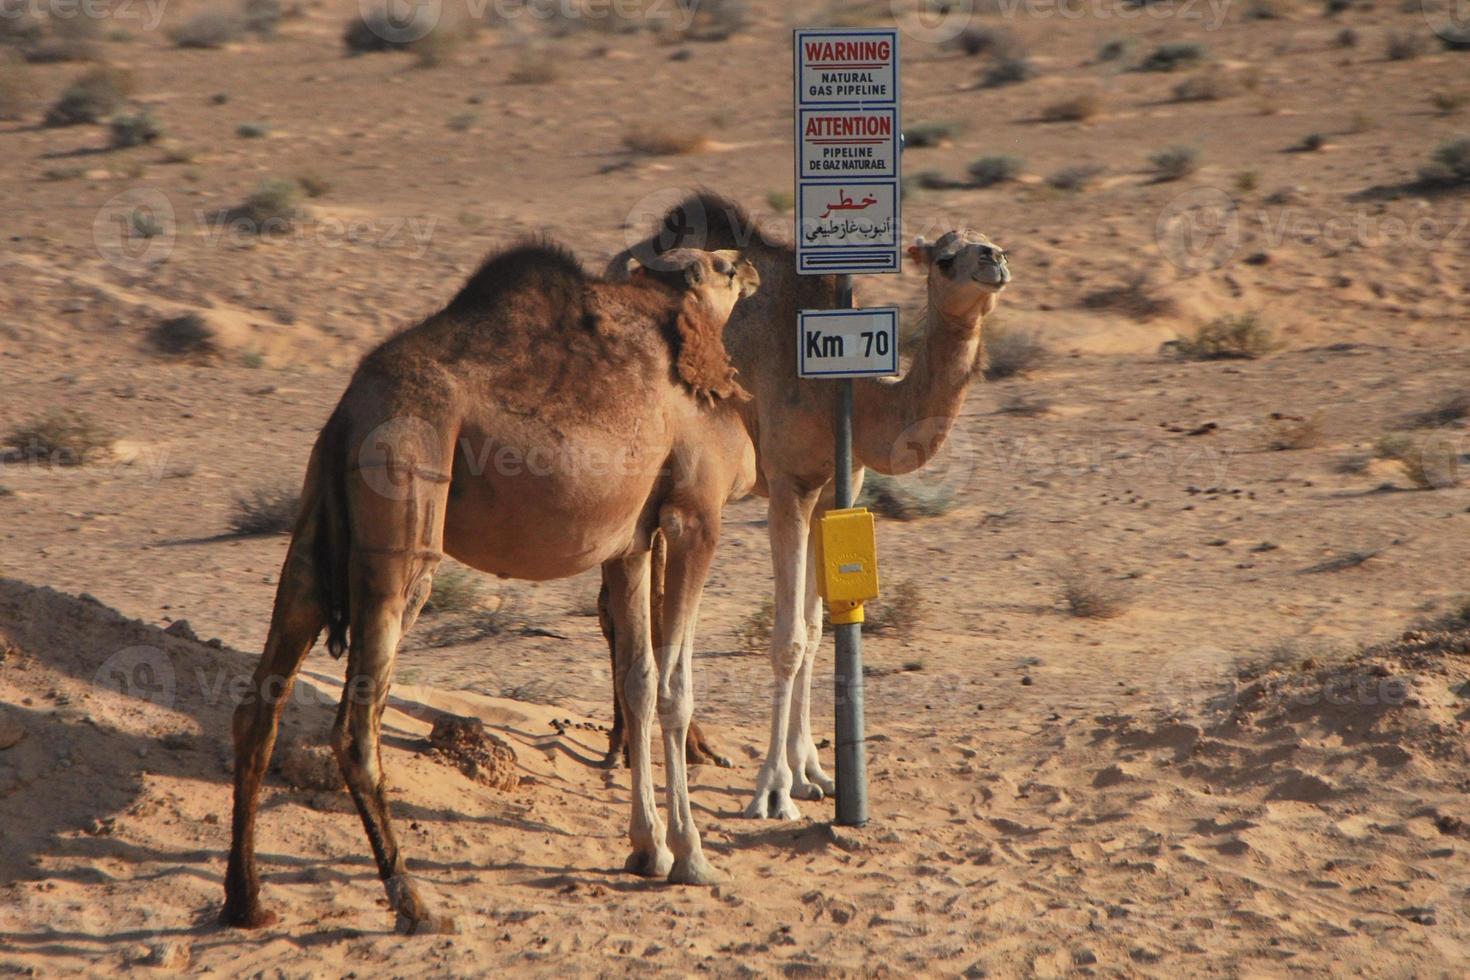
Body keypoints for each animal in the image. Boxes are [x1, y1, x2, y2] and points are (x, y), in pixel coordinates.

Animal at [226, 239, 770, 934]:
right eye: (722, 267)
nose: (749, 265)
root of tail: (348, 412)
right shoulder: (695, 515)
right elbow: (675, 687)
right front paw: (692, 857)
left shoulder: (630, 541)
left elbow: (639, 683)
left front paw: (646, 849)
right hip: (405, 503)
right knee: (355, 727)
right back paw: (413, 901)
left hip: (314, 524)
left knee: (259, 705)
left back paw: (247, 901)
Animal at [602, 191, 1005, 822]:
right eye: (944, 258)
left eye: (989, 241)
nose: (994, 259)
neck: (852, 396)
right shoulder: (790, 485)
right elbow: (787, 639)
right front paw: (773, 789)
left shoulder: (834, 489)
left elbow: (816, 629)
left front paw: (812, 771)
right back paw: (629, 752)